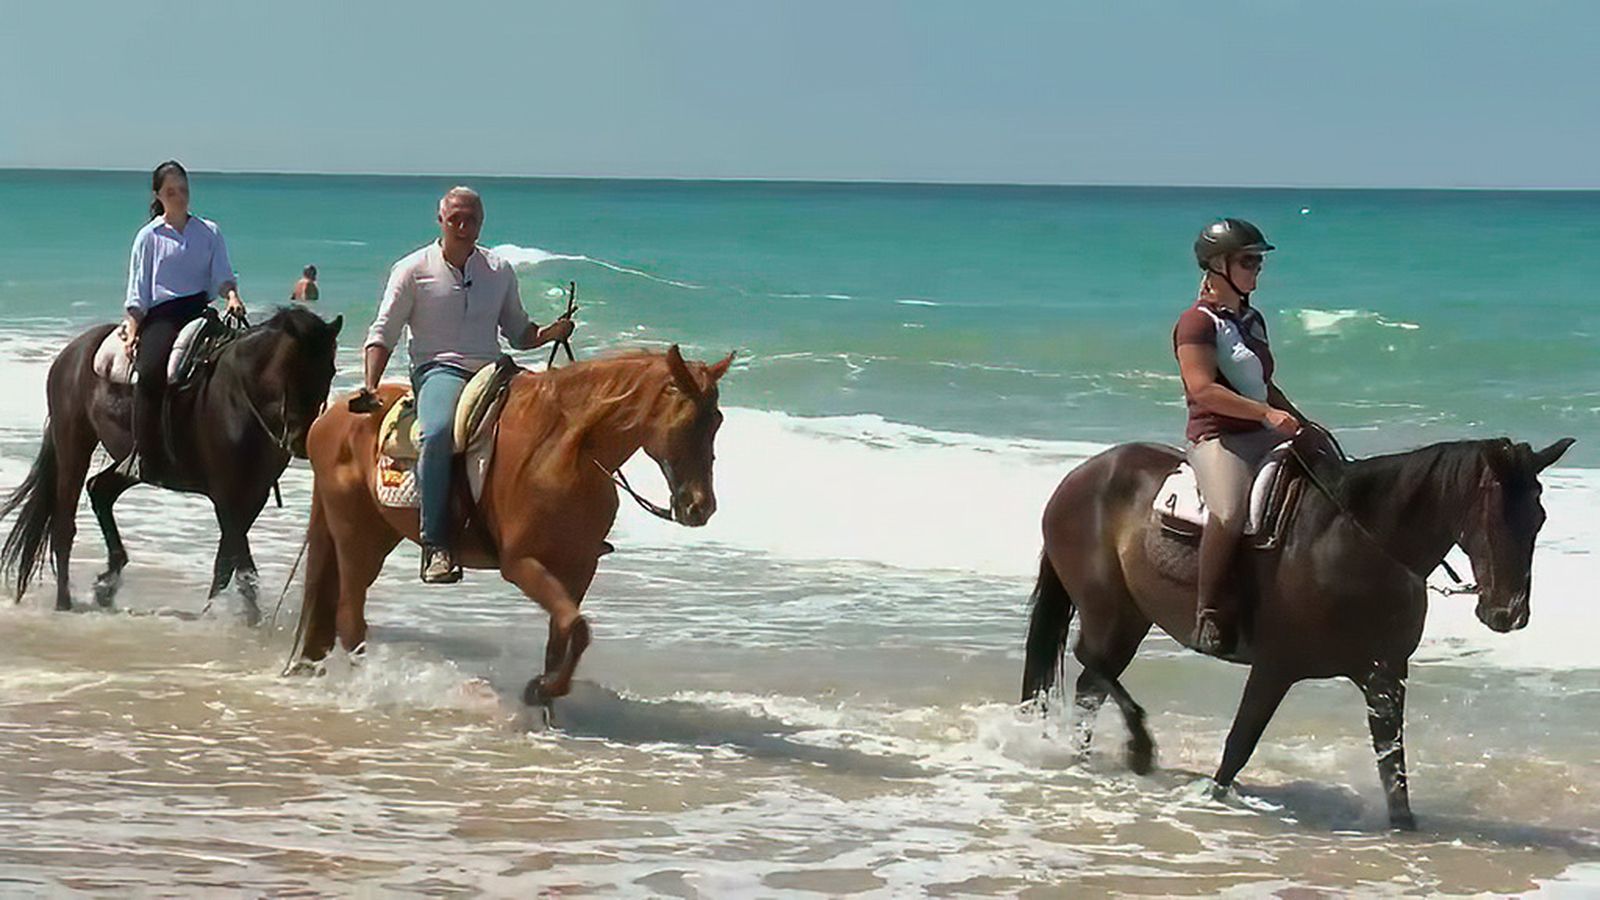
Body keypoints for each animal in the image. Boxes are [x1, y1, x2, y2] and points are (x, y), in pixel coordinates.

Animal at [0, 307, 344, 621]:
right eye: (291, 368)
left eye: (330, 371)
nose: (301, 440)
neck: (240, 398)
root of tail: (72, 352)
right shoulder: (226, 495)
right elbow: (243, 566)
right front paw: (249, 621)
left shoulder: (253, 495)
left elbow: (226, 562)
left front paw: (216, 613)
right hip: (74, 445)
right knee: (64, 523)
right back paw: (65, 603)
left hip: (134, 464)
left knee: (100, 489)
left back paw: (106, 585)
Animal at [291, 345, 732, 704]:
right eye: (685, 422)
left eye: (717, 421)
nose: (700, 507)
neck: (563, 452)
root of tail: (330, 416)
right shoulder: (520, 565)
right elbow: (576, 626)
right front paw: (544, 690)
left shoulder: (579, 567)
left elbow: (566, 633)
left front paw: (543, 693)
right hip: (355, 535)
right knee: (350, 619)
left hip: (377, 534)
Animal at [1020, 433, 1574, 830]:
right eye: (1495, 518)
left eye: (1540, 518)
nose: (1508, 613)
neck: (1353, 542)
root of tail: (1082, 475)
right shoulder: (1275, 668)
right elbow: (1237, 748)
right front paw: (1211, 797)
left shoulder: (1384, 675)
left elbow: (1392, 767)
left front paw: (1404, 825)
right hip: (1111, 611)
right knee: (1092, 661)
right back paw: (1137, 746)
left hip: (1132, 616)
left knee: (1091, 683)